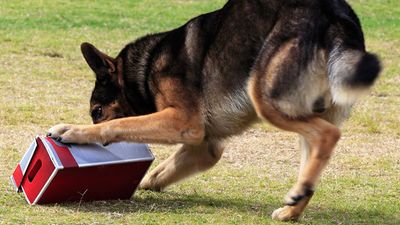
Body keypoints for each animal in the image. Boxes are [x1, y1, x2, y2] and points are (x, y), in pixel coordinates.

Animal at [47, 0, 382, 221]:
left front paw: (74, 131)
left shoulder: (183, 122)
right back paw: (293, 205)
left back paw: (297, 195)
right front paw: (141, 183)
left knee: (328, 134)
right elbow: (160, 172)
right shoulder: (205, 146)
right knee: (315, 150)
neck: (144, 69)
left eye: (96, 111)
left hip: (266, 98)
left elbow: (120, 126)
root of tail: (337, 17)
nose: (89, 121)